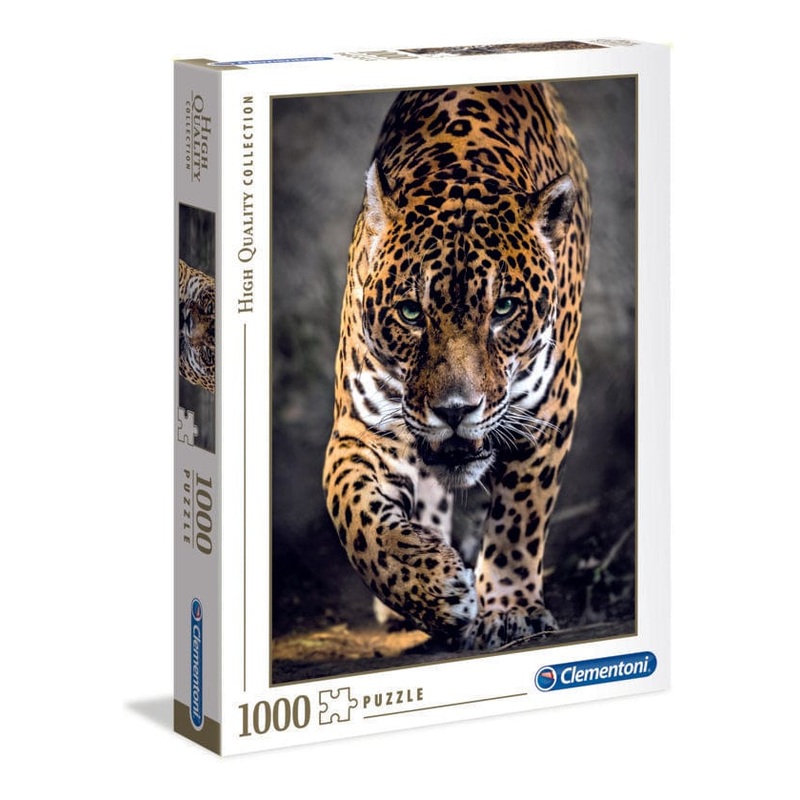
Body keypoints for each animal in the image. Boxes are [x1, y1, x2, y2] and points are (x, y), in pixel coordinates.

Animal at [323, 83, 590, 650]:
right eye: (410, 313)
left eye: (504, 309)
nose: (454, 411)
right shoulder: (361, 427)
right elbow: (354, 515)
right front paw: (431, 588)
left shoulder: (549, 408)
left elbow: (519, 517)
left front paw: (509, 609)